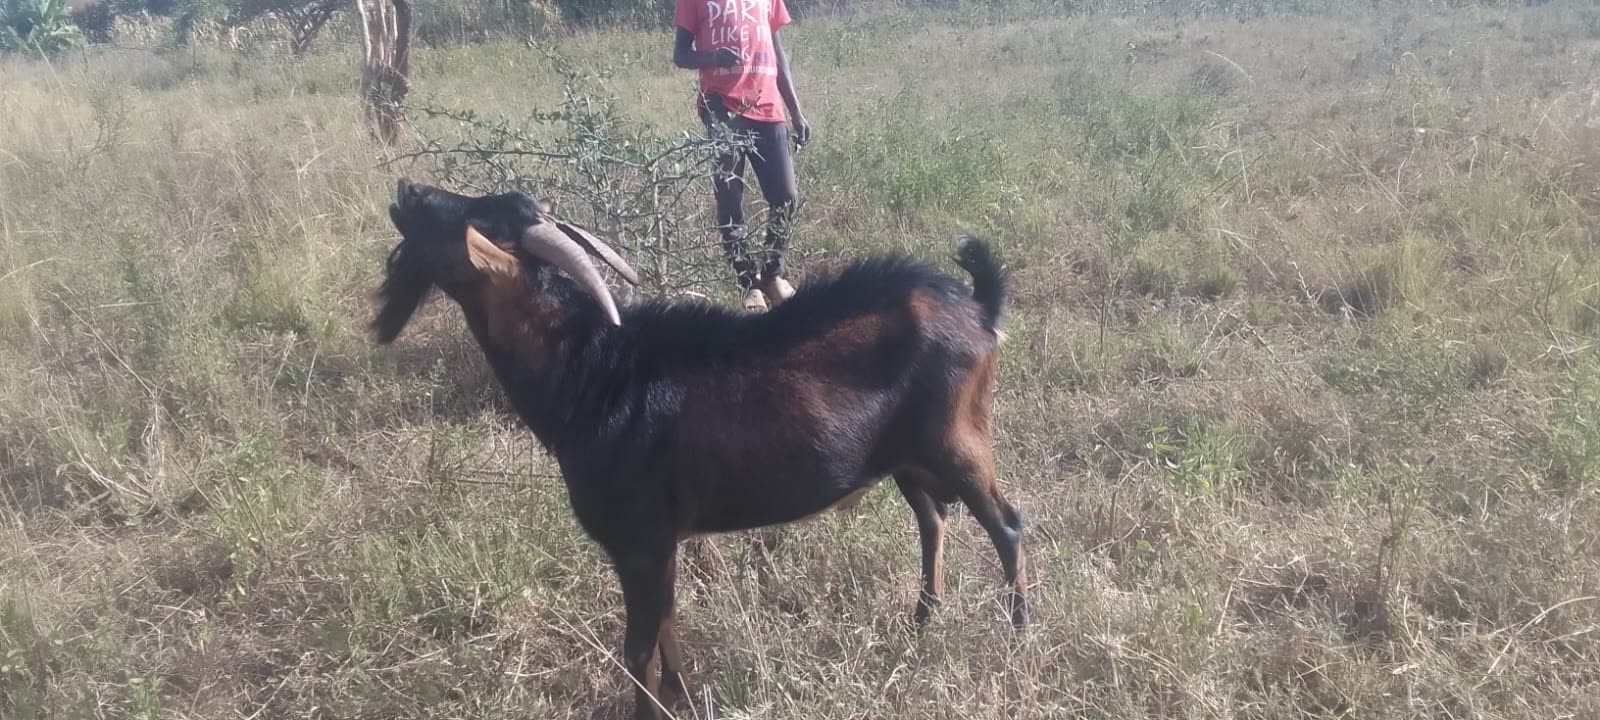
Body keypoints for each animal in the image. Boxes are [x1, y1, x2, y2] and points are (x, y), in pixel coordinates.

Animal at [374, 179, 1028, 720]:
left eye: (460, 220)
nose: (407, 189)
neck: (594, 374)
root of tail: (978, 308)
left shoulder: (637, 541)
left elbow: (638, 648)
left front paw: (651, 711)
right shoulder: (659, 542)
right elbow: (667, 623)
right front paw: (681, 696)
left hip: (957, 441)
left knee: (1006, 525)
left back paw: (1017, 635)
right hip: (906, 458)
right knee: (932, 520)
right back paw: (922, 622)